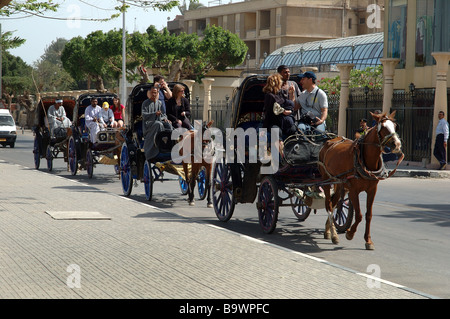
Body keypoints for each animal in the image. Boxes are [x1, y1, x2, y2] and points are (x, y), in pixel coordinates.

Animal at [318, 112, 402, 250]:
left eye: (395, 126)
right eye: (383, 127)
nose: (397, 144)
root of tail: (329, 141)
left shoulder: (372, 190)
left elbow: (369, 215)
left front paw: (368, 240)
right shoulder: (353, 191)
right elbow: (359, 215)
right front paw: (350, 233)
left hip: (339, 183)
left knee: (335, 202)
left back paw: (328, 231)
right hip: (326, 180)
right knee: (329, 205)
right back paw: (334, 234)